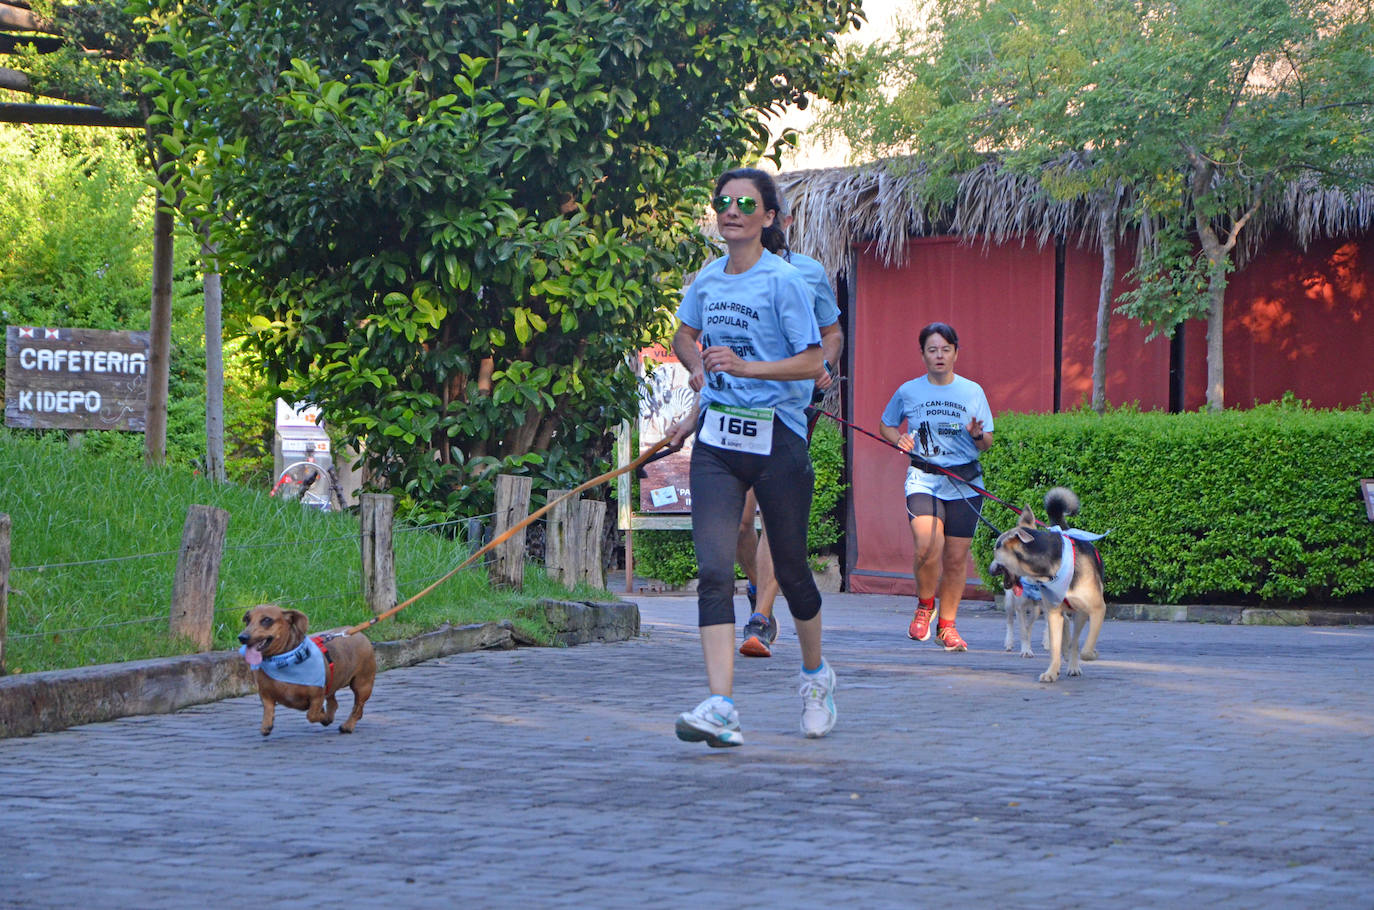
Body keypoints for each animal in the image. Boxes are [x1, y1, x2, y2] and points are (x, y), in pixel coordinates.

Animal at [989, 489, 1104, 681]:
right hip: (1016, 604)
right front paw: (1051, 671)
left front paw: (1090, 654)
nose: (989, 569)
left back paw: (1072, 663)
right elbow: (1054, 646)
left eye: (995, 550)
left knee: (1074, 638)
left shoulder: (1097, 609)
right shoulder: (1052, 612)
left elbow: (1084, 649)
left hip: (1078, 612)